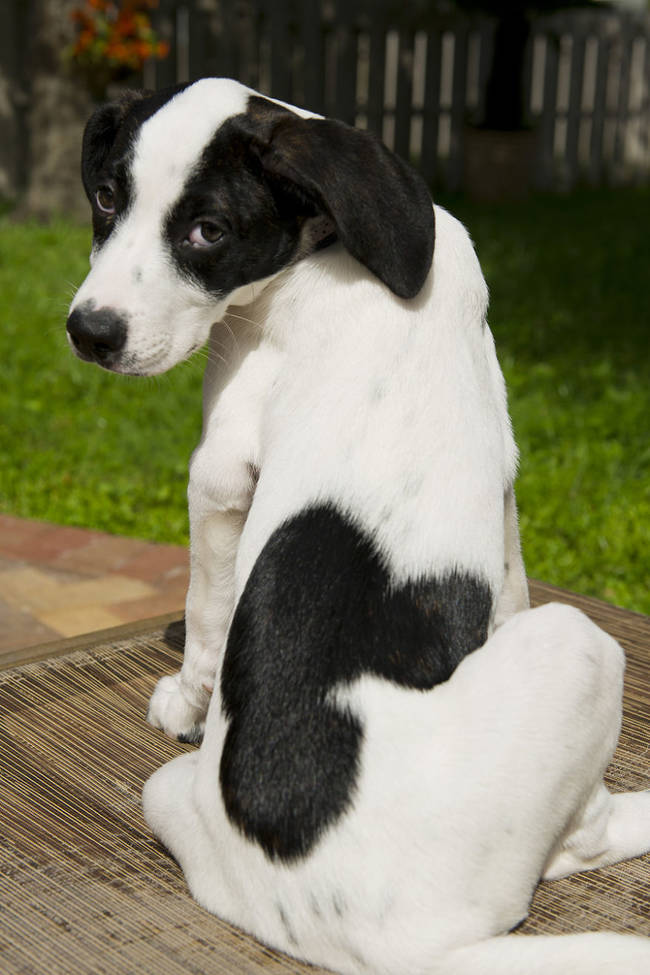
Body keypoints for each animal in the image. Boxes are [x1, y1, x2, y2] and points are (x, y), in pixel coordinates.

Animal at [67, 78, 648, 975]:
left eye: (209, 232)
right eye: (104, 197)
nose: (90, 331)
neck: (333, 244)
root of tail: (375, 942)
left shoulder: (218, 473)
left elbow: (206, 611)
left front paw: (189, 700)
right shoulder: (506, 469)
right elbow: (510, 573)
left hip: (580, 641)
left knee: (584, 836)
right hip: (172, 795)